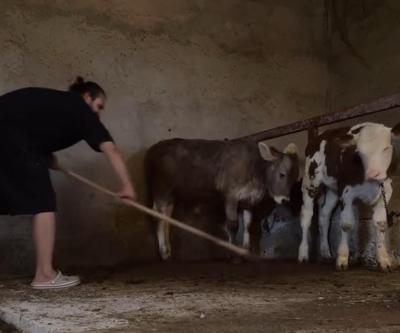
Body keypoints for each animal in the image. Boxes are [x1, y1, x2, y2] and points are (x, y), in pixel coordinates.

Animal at [298, 122, 398, 270]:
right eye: (360, 153)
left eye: (386, 148)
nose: (374, 173)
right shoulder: (347, 193)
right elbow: (346, 224)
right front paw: (342, 259)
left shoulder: (385, 192)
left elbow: (380, 224)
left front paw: (384, 260)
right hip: (310, 183)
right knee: (307, 217)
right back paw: (303, 254)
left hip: (333, 189)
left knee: (324, 216)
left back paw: (325, 253)